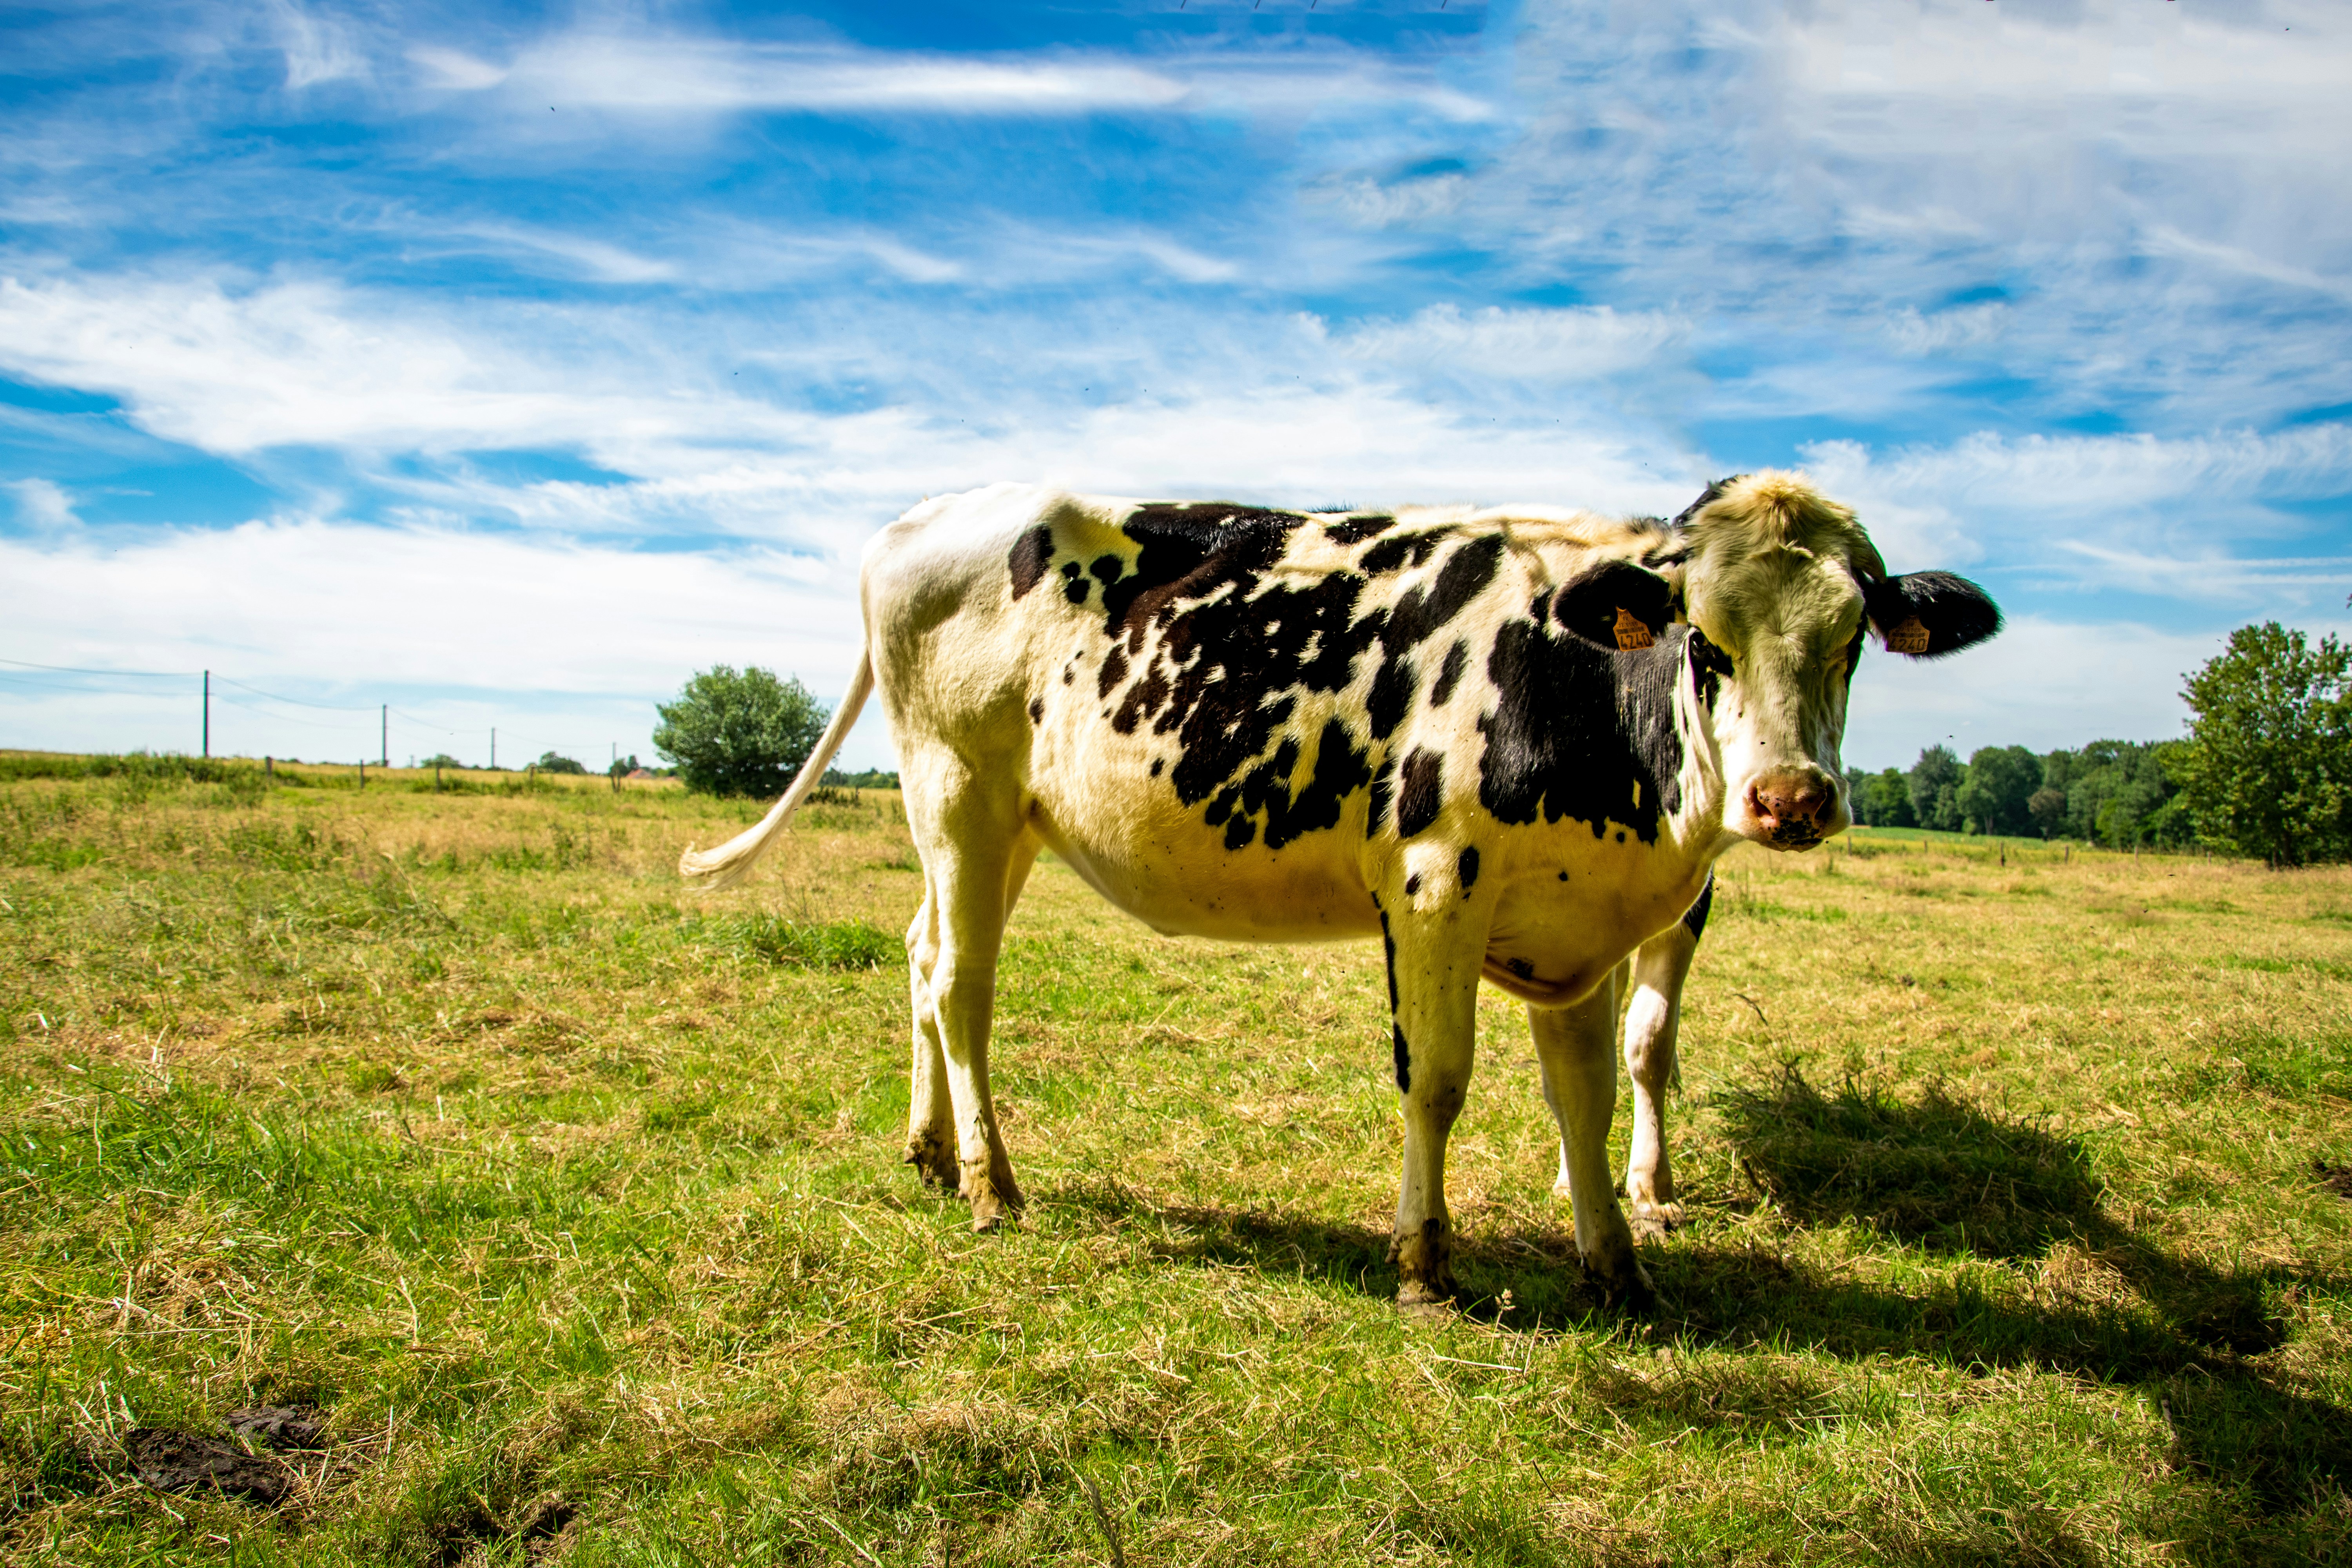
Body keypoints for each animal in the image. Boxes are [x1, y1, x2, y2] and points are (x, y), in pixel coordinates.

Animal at [680, 472, 2000, 1309]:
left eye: (1850, 640)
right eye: (1701, 636)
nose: (1790, 797)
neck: (1572, 683)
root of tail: (925, 517)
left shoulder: (1579, 926)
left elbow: (1585, 1093)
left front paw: (1616, 1262)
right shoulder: (1432, 882)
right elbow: (1440, 1082)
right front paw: (1424, 1264)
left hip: (1003, 828)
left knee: (918, 954)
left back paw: (929, 1149)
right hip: (957, 787)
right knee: (960, 986)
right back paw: (992, 1187)